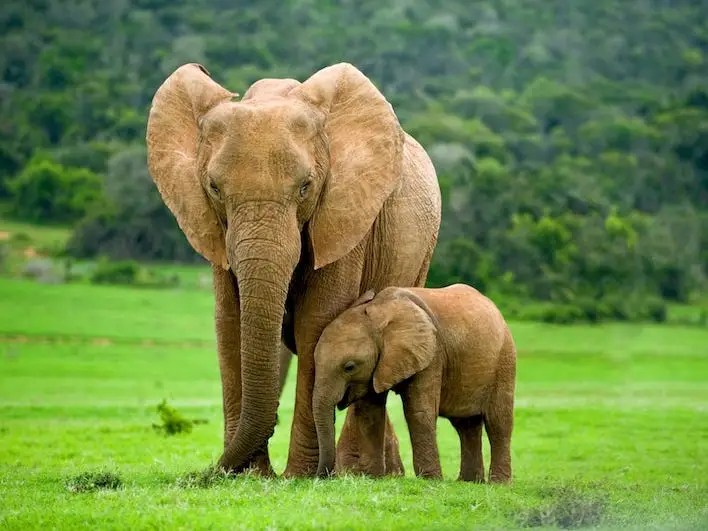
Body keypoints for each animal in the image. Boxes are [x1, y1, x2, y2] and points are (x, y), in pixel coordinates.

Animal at [146, 62, 441, 477]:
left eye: (305, 187)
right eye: (214, 188)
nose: (209, 472)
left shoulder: (344, 214)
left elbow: (316, 322)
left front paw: (298, 477)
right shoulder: (215, 229)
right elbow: (230, 322)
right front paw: (250, 475)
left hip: (421, 253)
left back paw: (361, 473)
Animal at [312, 285, 516, 482]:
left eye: (349, 367)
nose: (322, 477)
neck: (379, 313)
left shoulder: (432, 354)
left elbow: (419, 411)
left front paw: (430, 481)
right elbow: (370, 413)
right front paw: (372, 478)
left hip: (504, 360)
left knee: (498, 422)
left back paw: (499, 484)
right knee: (466, 425)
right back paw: (469, 482)